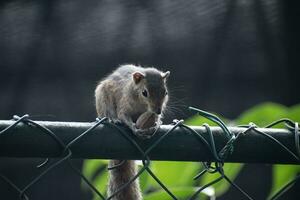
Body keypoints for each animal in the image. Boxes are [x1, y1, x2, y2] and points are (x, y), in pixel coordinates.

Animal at [95, 65, 170, 199]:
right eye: (144, 92)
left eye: (165, 92)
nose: (158, 110)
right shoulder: (124, 105)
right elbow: (124, 116)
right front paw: (133, 128)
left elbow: (155, 120)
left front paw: (156, 124)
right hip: (102, 98)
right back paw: (112, 119)